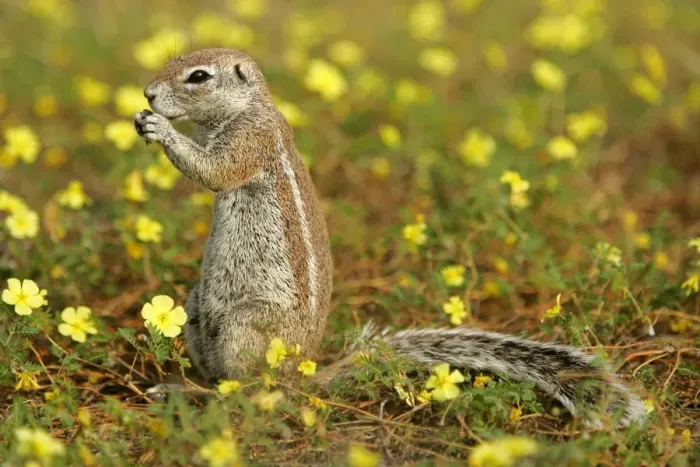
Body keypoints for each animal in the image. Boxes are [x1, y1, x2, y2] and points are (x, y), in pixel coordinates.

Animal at [134, 48, 645, 427]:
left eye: (199, 76)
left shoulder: (249, 141)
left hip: (245, 327)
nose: (148, 93)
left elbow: (215, 172)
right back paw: (180, 388)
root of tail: (301, 377)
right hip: (197, 310)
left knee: (252, 392)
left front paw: (162, 130)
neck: (249, 107)